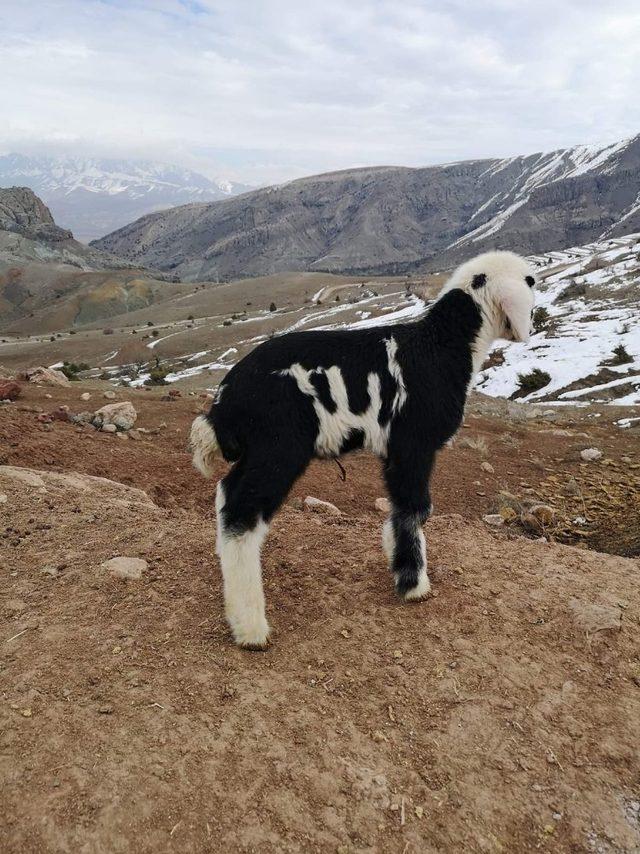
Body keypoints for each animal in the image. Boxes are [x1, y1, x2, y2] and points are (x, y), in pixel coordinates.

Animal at [189, 251, 536, 652]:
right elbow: (415, 508)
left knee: (226, 494)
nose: (528, 323)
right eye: (529, 281)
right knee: (242, 513)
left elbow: (400, 507)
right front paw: (413, 584)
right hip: (278, 448)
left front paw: (396, 559)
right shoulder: (413, 443)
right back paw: (250, 628)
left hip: (259, 451)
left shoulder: (392, 449)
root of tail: (225, 399)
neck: (441, 346)